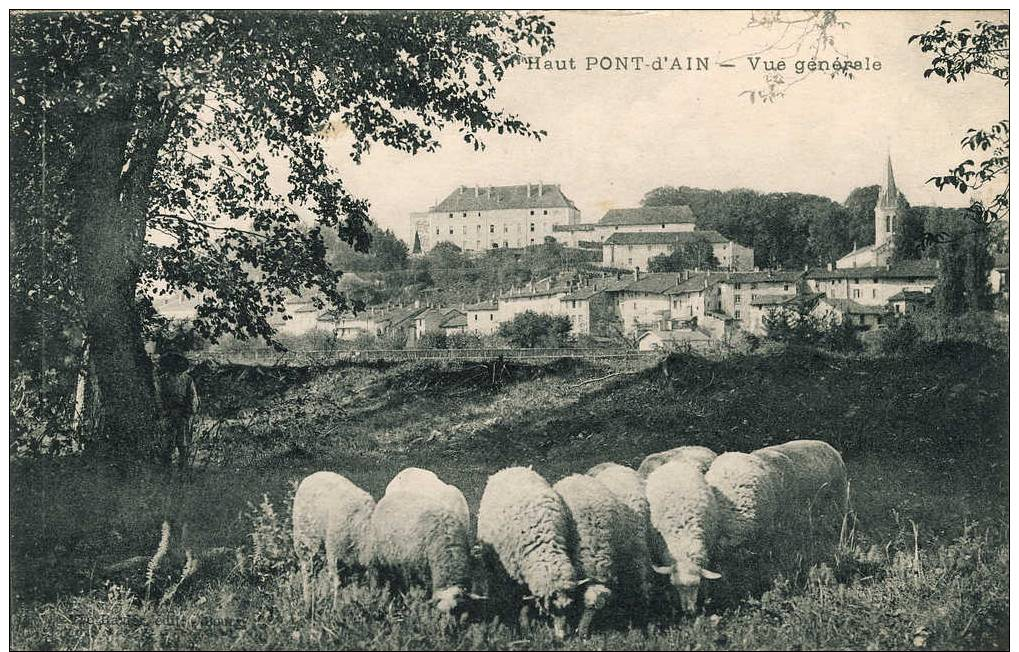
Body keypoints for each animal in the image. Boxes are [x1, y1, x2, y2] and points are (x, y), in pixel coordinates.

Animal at [293, 468, 377, 611]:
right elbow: (339, 583)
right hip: (306, 541)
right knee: (308, 572)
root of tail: (313, 475)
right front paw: (336, 609)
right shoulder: (336, 555)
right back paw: (308, 603)